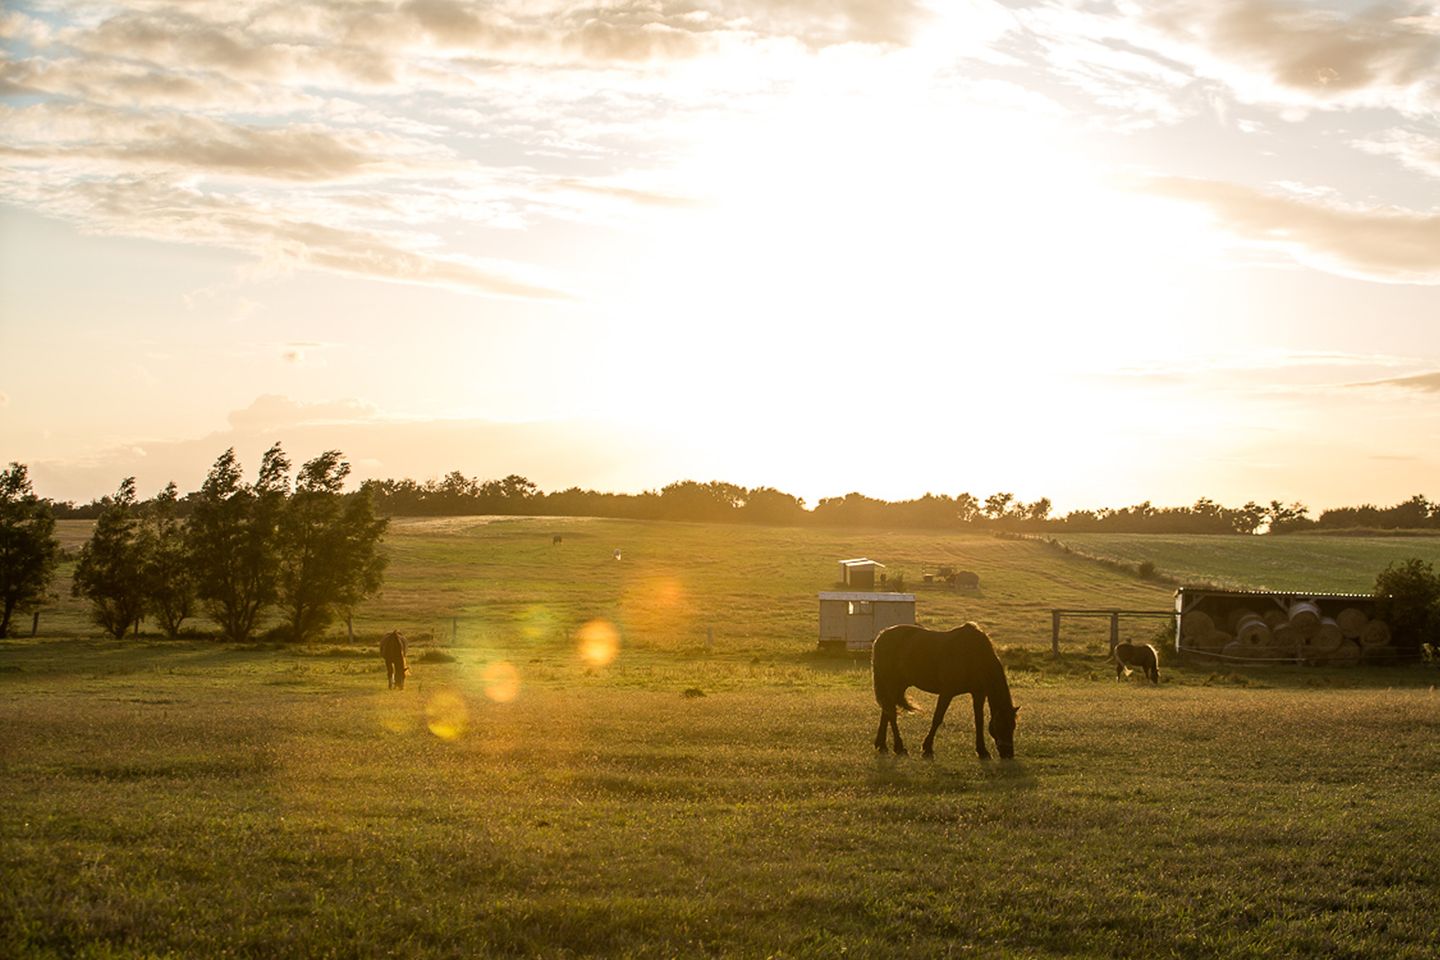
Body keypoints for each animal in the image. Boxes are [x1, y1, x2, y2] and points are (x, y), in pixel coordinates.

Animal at [872, 623, 1019, 760]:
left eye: (1013, 726)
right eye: (1002, 725)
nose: (1008, 754)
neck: (972, 655)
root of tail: (881, 636)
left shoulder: (978, 694)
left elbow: (979, 720)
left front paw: (982, 751)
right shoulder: (947, 692)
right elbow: (937, 718)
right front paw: (927, 749)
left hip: (899, 685)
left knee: (887, 711)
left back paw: (882, 745)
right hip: (892, 683)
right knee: (891, 713)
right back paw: (899, 747)